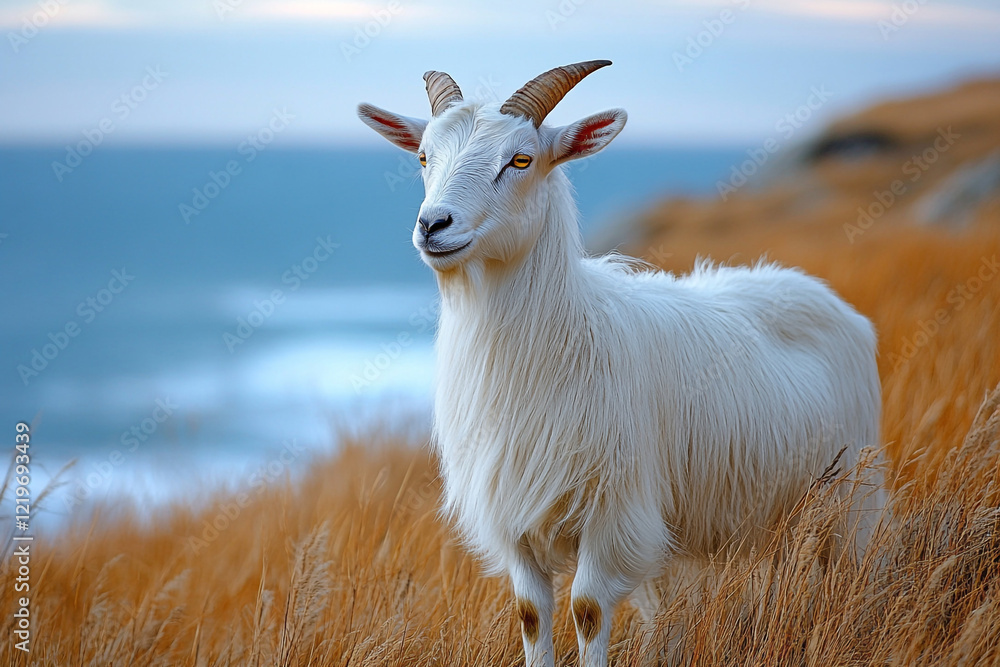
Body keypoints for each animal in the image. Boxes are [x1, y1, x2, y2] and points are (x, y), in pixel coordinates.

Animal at [358, 60, 884, 667]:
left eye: (521, 160)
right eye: (423, 156)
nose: (433, 225)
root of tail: (820, 293)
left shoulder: (614, 516)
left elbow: (587, 609)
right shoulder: (516, 521)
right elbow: (531, 613)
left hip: (853, 498)